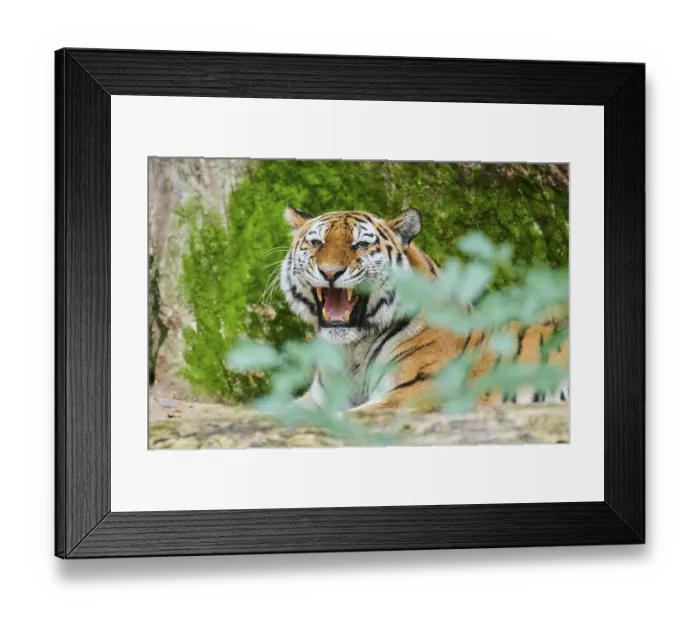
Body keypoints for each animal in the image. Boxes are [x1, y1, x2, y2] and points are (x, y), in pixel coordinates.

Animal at [280, 204, 569, 415]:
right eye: (316, 243)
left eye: (361, 244)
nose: (330, 272)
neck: (352, 350)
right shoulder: (318, 398)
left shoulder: (412, 392)